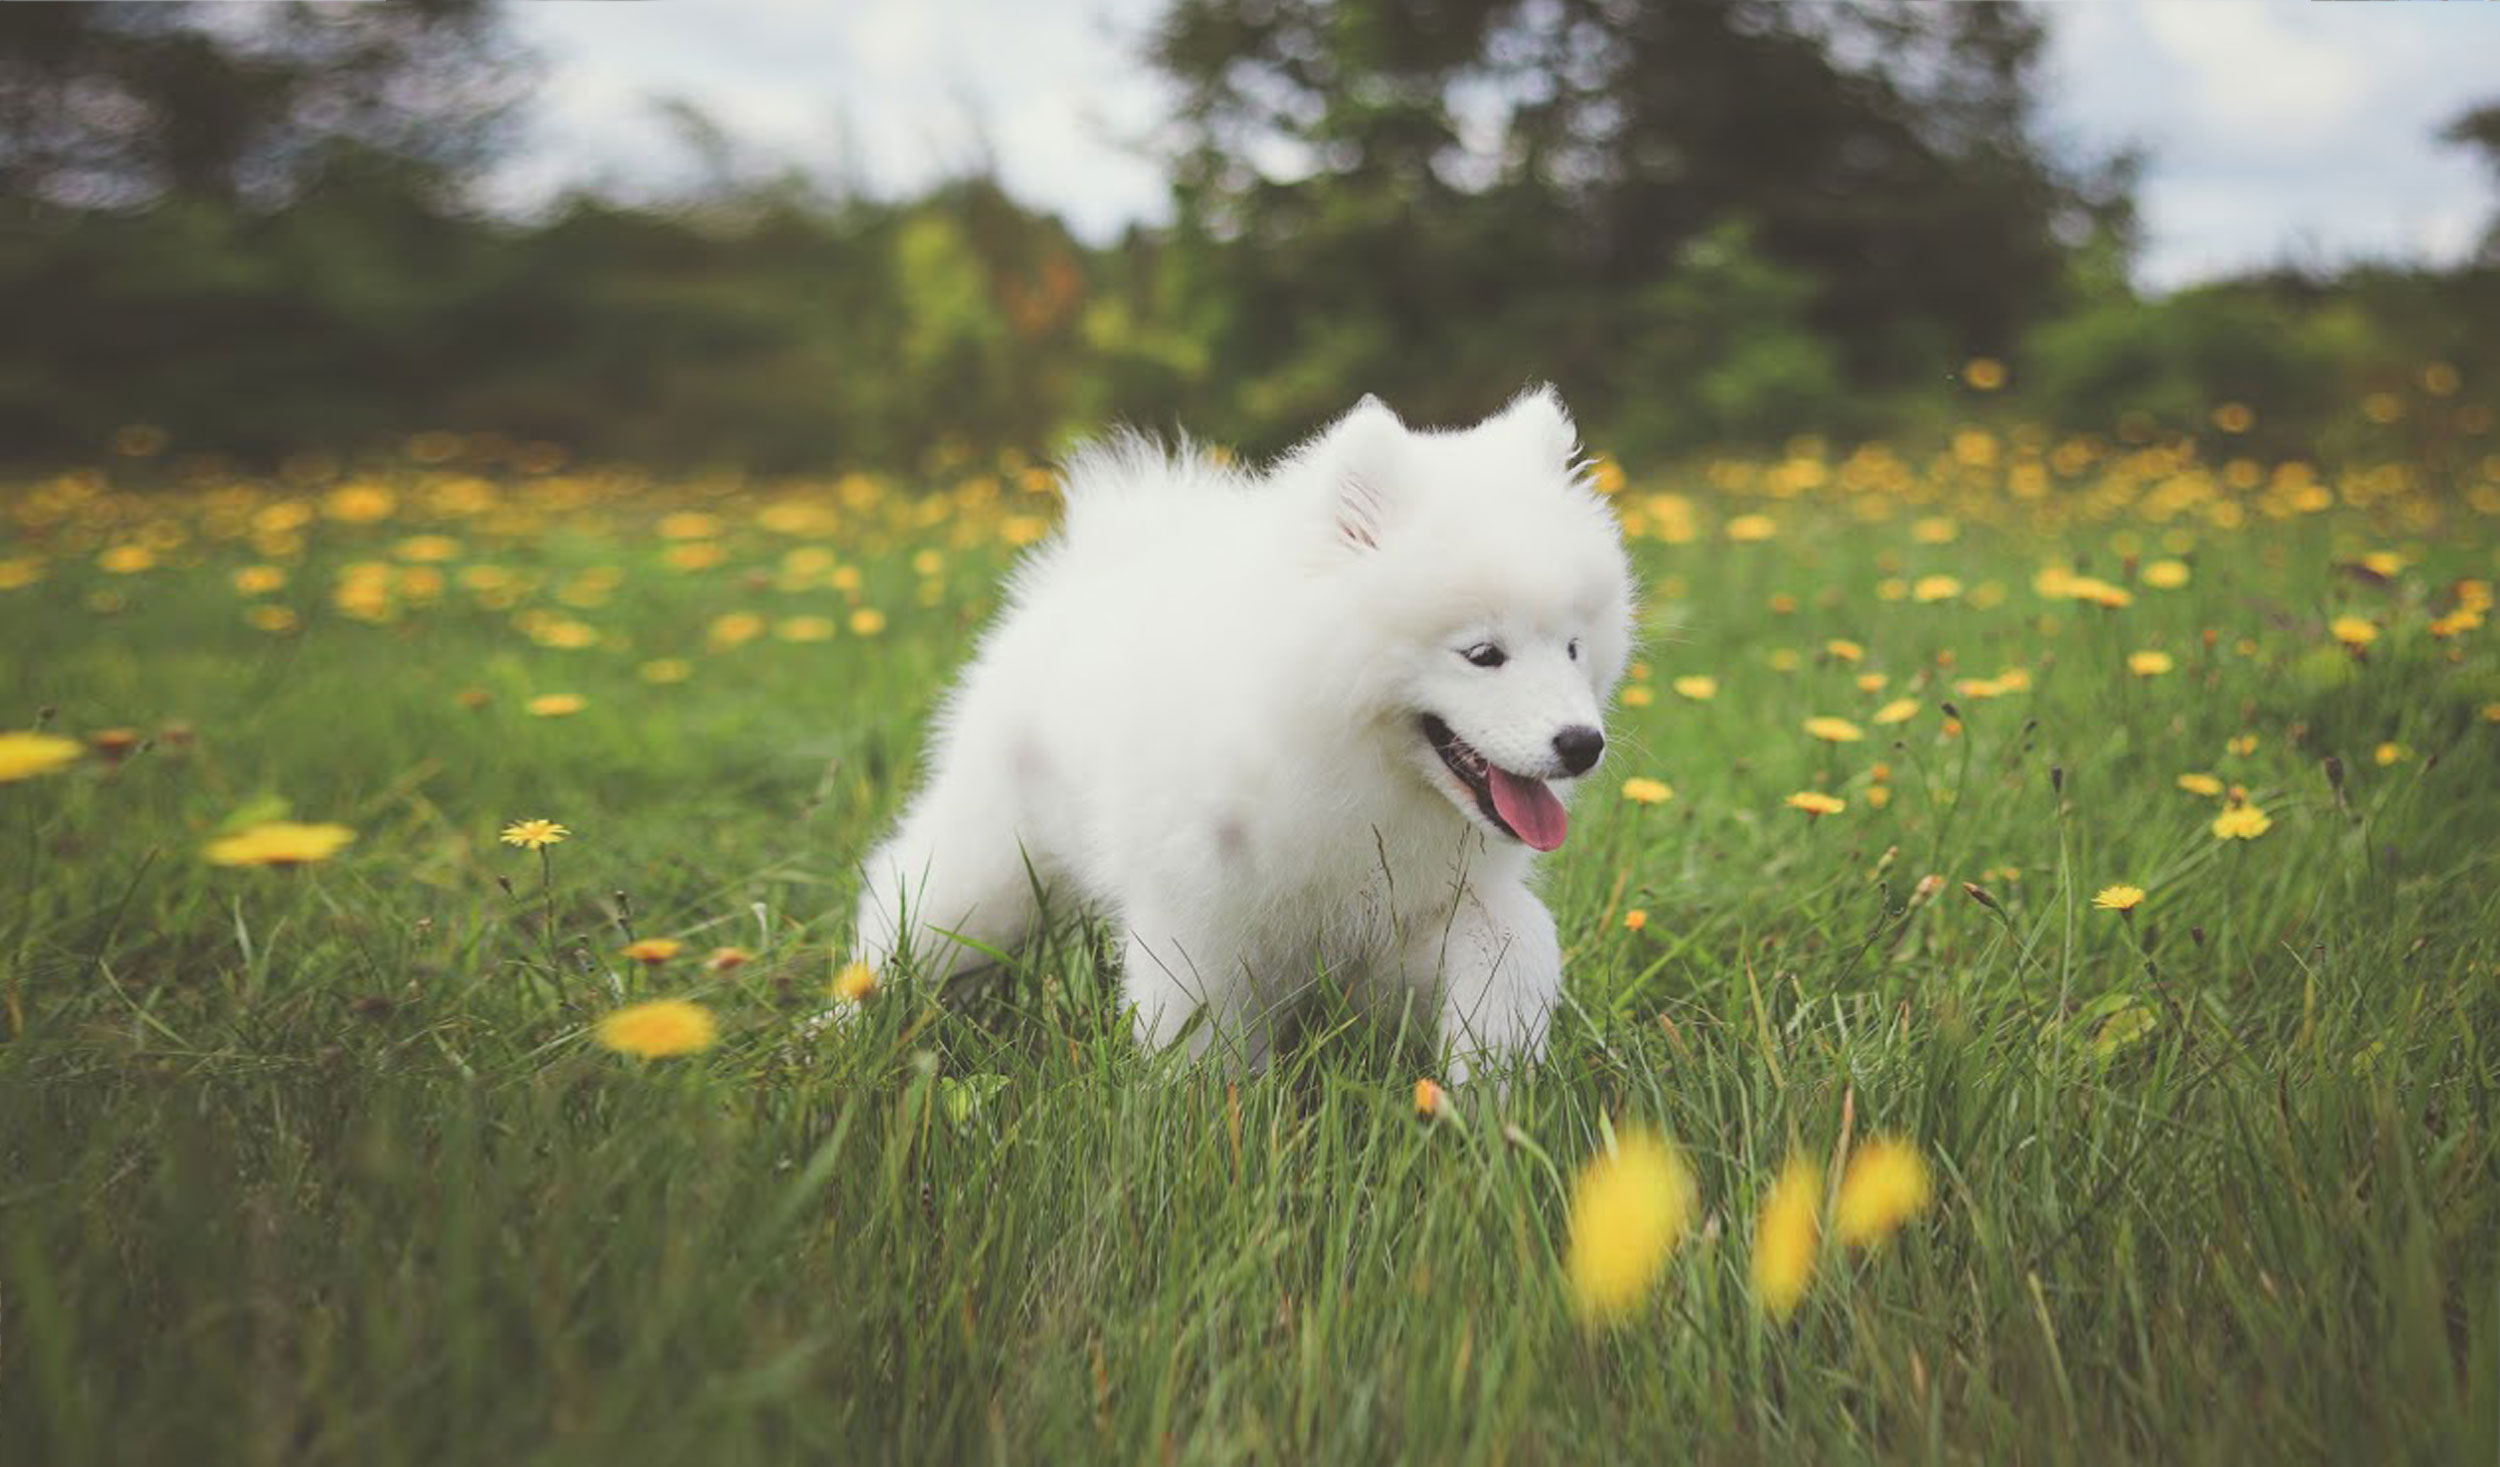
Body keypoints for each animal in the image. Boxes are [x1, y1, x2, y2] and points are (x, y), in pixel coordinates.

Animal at [855, 387, 1640, 1079]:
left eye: (1573, 647)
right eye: (1483, 654)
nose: (1583, 744)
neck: (1345, 761)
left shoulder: (1420, 911)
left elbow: (1517, 948)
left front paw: (1487, 1087)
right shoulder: (1200, 914)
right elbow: (1203, 1045)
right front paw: (1209, 1124)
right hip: (989, 865)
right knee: (904, 907)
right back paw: (848, 1025)